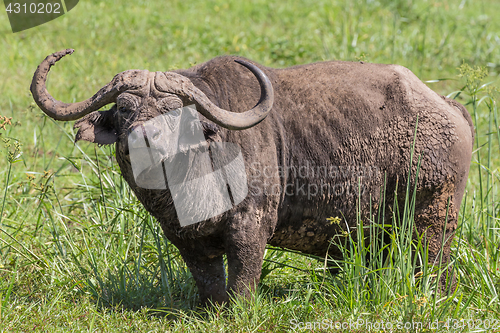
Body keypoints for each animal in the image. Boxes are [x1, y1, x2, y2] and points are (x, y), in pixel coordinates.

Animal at [30, 48, 472, 304]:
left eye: (175, 112)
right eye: (123, 108)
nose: (143, 138)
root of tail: (448, 107)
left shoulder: (251, 222)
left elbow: (243, 276)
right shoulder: (183, 236)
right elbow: (208, 280)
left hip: (432, 222)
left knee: (438, 268)